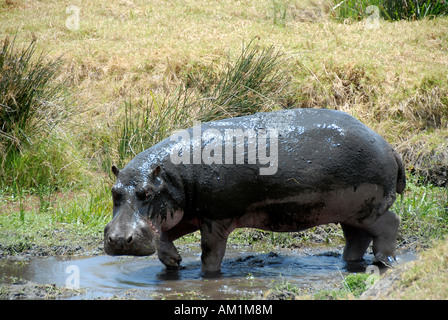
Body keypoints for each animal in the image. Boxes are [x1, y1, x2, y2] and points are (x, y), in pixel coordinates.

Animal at [105, 109, 406, 274]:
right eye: (113, 192)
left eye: (146, 193)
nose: (118, 239)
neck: (171, 178)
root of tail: (389, 145)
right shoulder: (186, 212)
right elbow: (165, 234)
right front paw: (173, 262)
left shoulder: (215, 219)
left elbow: (210, 254)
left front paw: (207, 275)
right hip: (351, 212)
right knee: (356, 237)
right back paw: (350, 262)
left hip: (368, 209)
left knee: (390, 224)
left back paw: (385, 262)